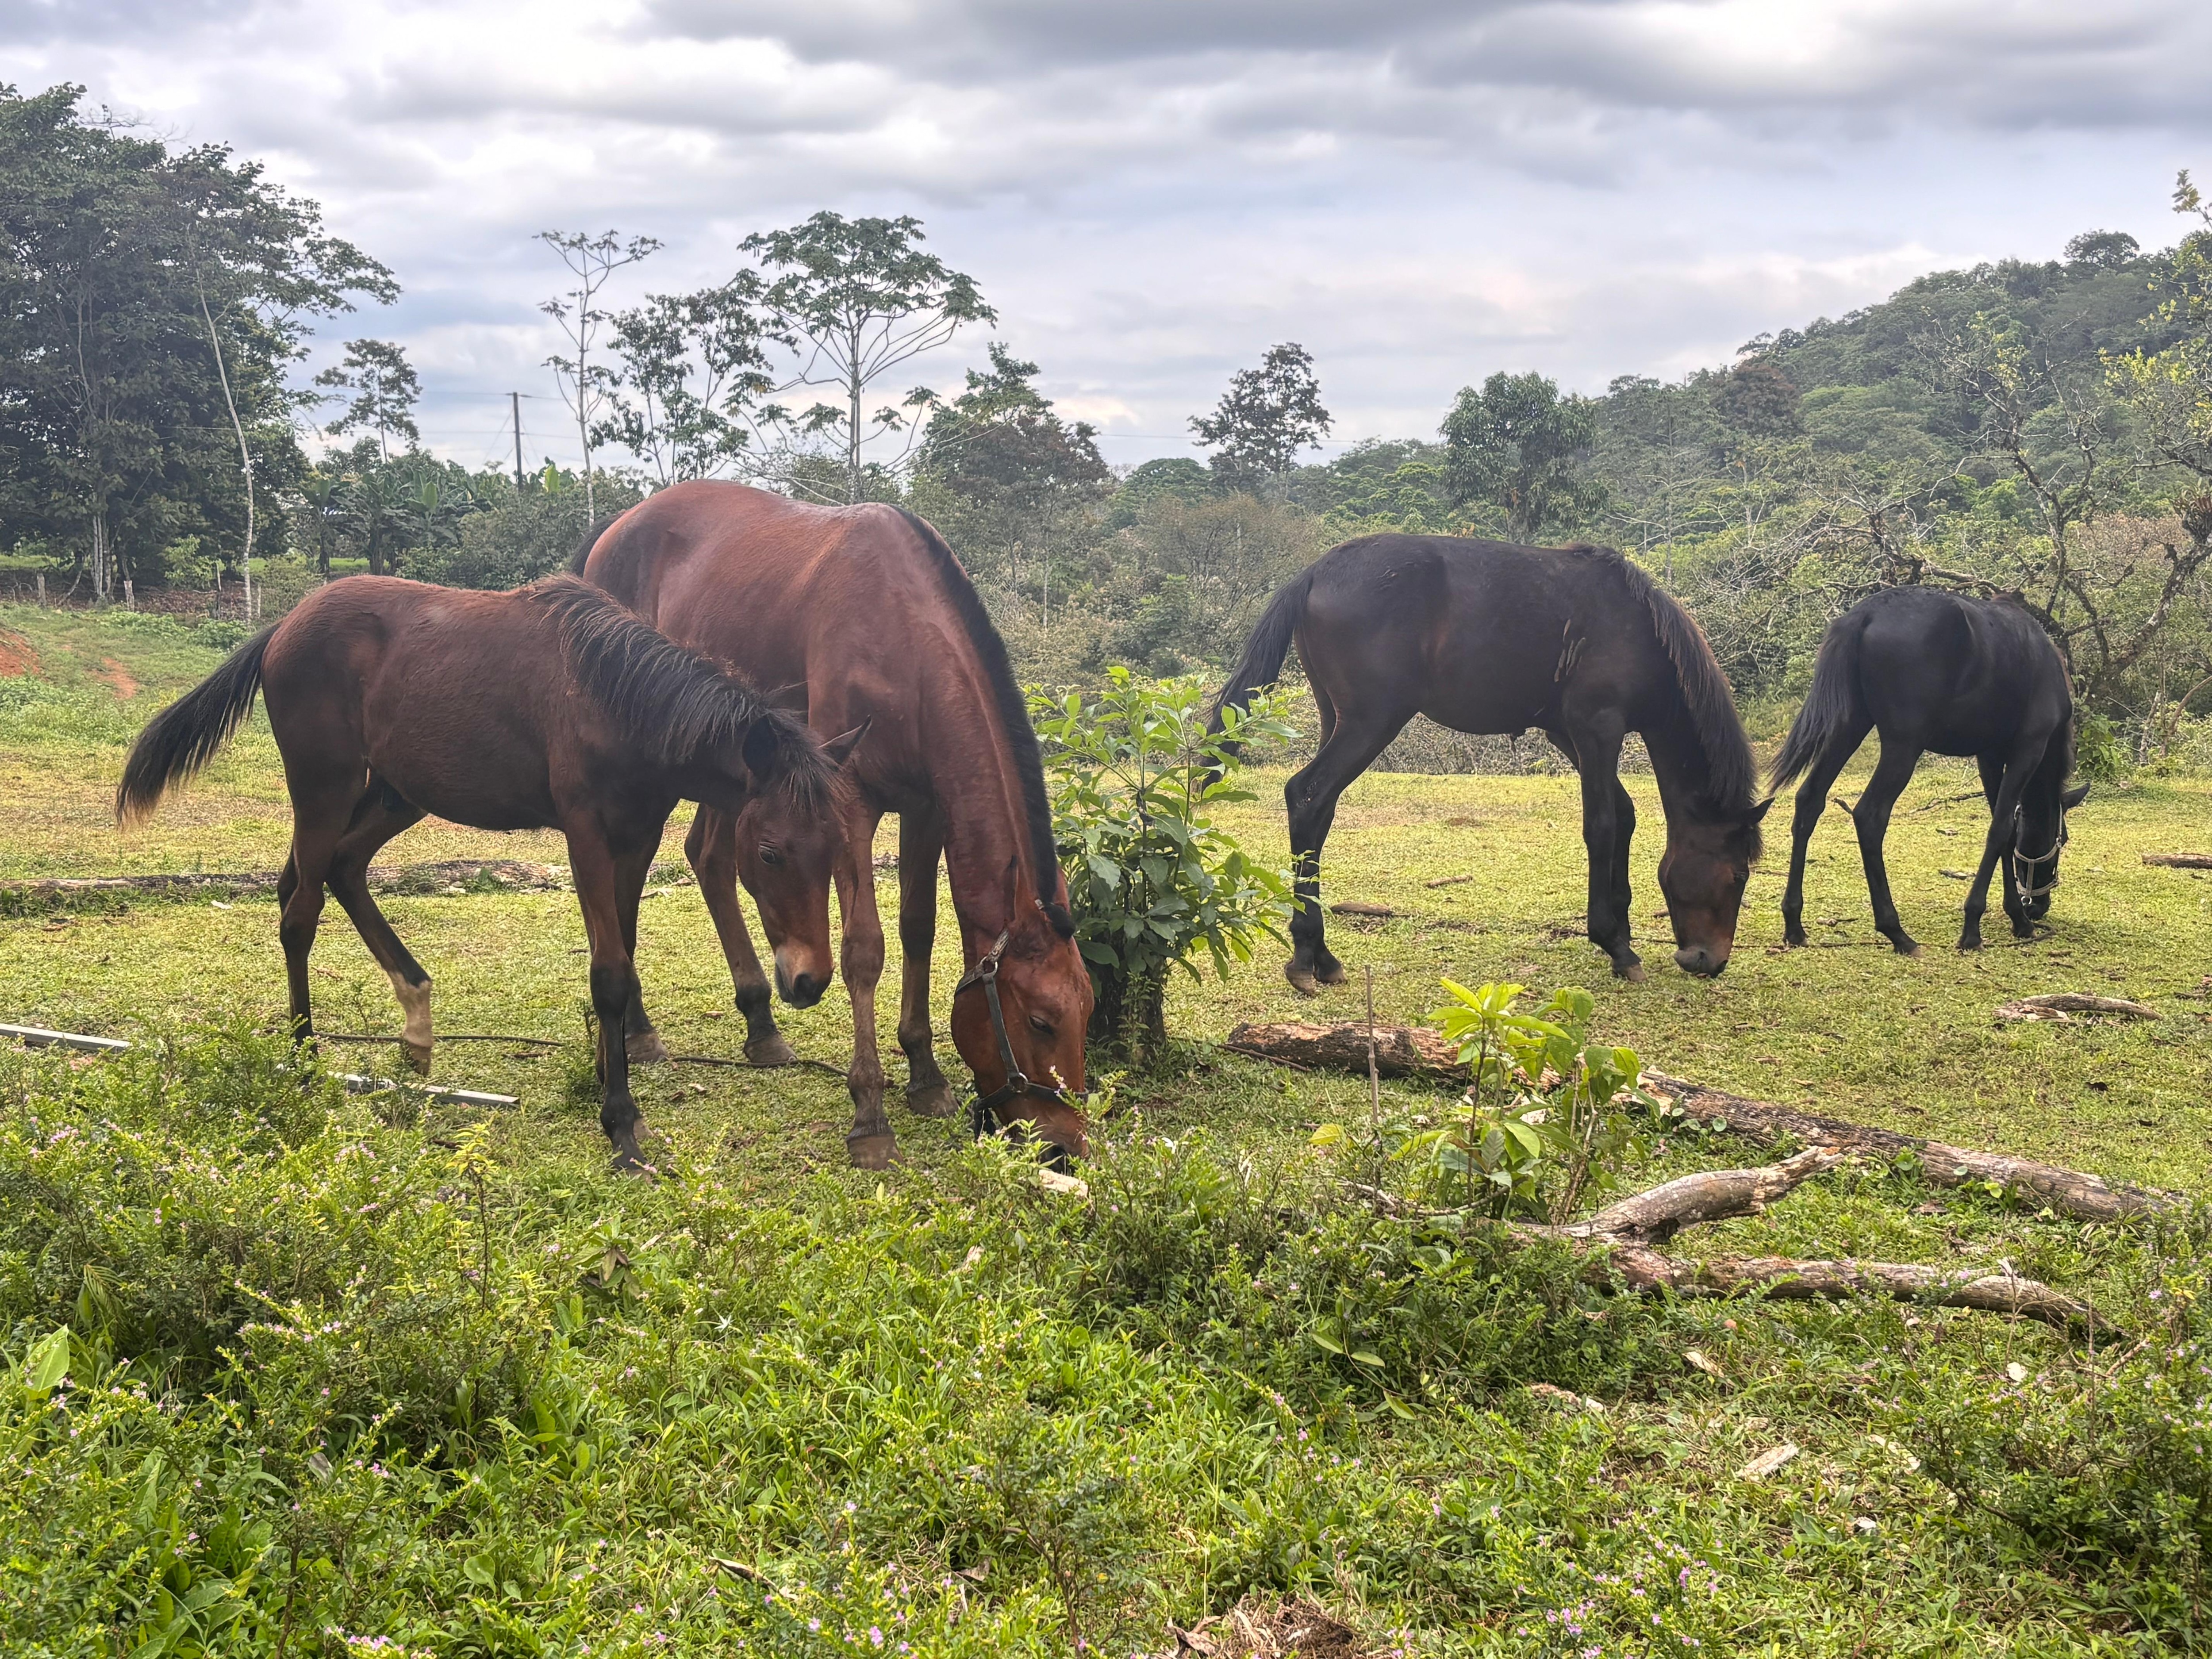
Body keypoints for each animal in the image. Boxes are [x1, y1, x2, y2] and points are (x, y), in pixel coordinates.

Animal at [115, 574, 844, 1170]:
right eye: (770, 852)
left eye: (836, 845)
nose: (809, 981)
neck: (615, 699)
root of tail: (283, 626)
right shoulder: (585, 835)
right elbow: (610, 974)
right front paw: (621, 1124)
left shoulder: (636, 839)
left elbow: (625, 958)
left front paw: (606, 1078)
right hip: (326, 788)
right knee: (299, 915)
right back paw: (304, 1060)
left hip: (395, 794)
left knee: (341, 873)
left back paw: (415, 1022)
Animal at [574, 481, 1092, 1170]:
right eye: (1039, 1021)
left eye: (1088, 1010)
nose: (1066, 1145)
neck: (903, 637)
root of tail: (614, 529)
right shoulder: (850, 804)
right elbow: (863, 950)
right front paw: (870, 1113)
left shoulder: (926, 807)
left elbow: (918, 930)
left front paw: (924, 1072)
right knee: (629, 881)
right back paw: (638, 1030)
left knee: (707, 856)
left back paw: (760, 1022)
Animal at [1210, 535, 1770, 988]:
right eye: (1736, 878)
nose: (1711, 960)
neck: (1639, 631)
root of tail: (1314, 572)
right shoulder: (1598, 728)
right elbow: (1602, 824)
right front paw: (1613, 942)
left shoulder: (1566, 733)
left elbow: (1626, 816)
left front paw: (1622, 931)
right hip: (1371, 723)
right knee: (1307, 797)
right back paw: (1307, 955)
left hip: (1337, 720)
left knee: (1317, 811)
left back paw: (1321, 955)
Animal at [1770, 585, 2087, 956]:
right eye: (2063, 840)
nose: (2037, 906)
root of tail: (1865, 614)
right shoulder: (2029, 748)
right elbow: (1999, 830)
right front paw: (1974, 926)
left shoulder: (1990, 756)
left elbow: (2007, 832)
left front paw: (2016, 918)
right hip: (1904, 745)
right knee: (1870, 815)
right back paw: (1895, 931)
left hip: (1849, 727)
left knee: (1810, 801)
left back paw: (1794, 923)